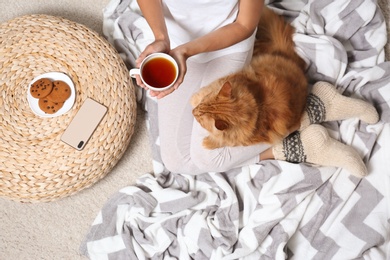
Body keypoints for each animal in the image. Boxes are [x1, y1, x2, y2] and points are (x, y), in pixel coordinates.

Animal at [191, 7, 308, 149]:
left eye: (199, 118)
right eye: (202, 103)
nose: (193, 111)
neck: (256, 107)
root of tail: (290, 58)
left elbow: (222, 141)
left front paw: (208, 142)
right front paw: (194, 99)